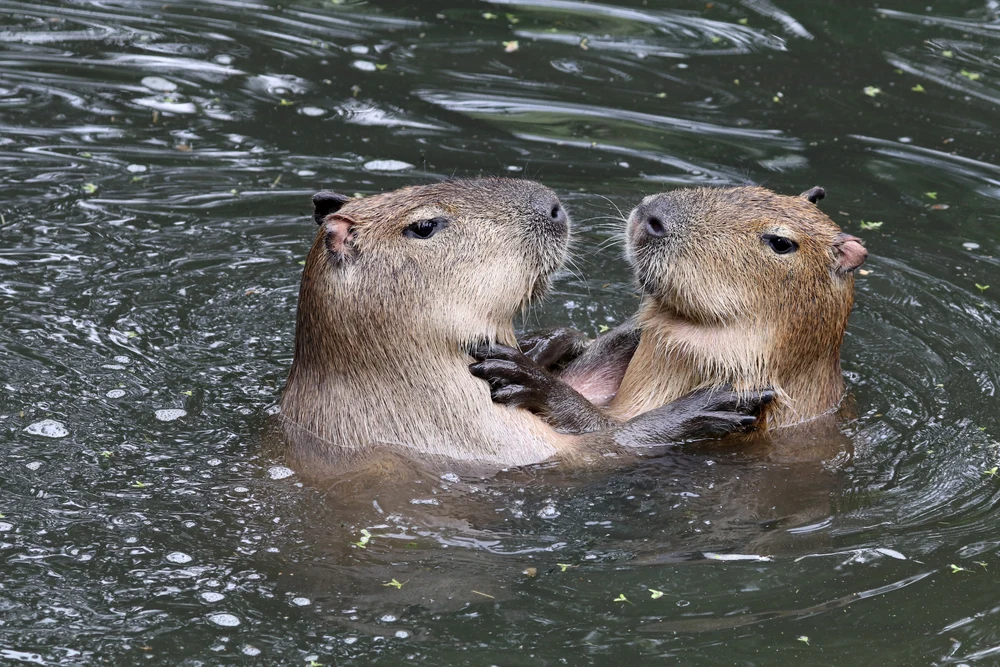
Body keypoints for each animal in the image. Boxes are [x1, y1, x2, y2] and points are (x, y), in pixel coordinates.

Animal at [278, 178, 770, 479]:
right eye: (424, 225)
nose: (553, 207)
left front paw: (545, 347)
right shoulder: (474, 437)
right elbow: (602, 448)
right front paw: (712, 403)